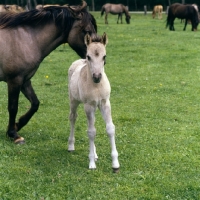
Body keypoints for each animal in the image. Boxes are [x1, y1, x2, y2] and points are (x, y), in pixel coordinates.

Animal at [0, 0, 97, 144]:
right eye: (86, 31)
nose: (96, 58)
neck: (26, 39)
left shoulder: (25, 80)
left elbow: (35, 103)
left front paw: (17, 125)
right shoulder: (14, 80)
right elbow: (13, 106)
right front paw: (14, 134)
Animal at [68, 32, 119, 172]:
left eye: (104, 56)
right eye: (88, 56)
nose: (97, 77)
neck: (96, 86)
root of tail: (78, 61)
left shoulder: (105, 103)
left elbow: (110, 128)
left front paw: (115, 164)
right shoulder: (88, 105)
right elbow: (91, 132)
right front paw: (91, 163)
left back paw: (95, 154)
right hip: (74, 101)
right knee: (73, 117)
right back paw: (71, 145)